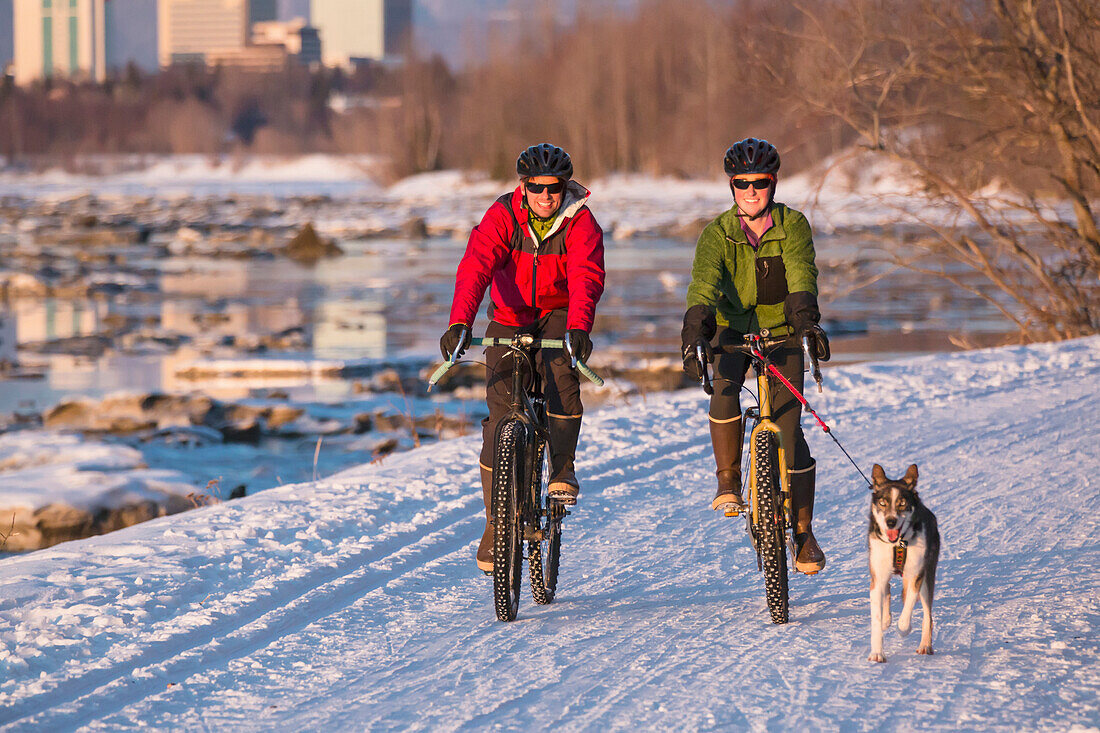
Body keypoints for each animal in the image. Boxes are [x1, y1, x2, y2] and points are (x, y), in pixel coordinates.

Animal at [866, 462, 937, 660]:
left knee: (928, 615)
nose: (890, 522)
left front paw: (904, 628)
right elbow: (876, 620)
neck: (897, 545)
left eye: (902, 503)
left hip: (928, 576)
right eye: (883, 503)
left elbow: (909, 605)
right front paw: (877, 653)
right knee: (887, 588)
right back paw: (886, 619)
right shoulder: (877, 577)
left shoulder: (916, 574)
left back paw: (925, 645)